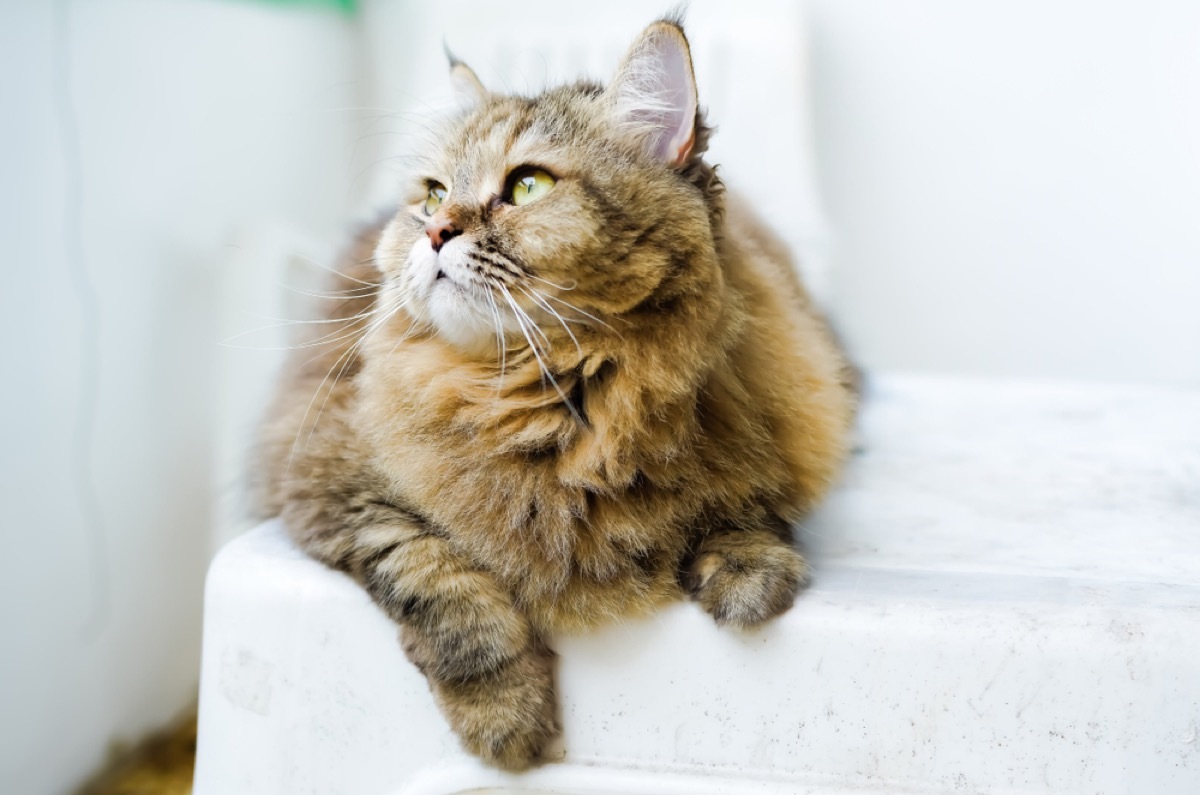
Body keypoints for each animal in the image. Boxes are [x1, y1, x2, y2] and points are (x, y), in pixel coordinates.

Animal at [255, 14, 854, 773]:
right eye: (432, 194)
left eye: (528, 186)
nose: (434, 230)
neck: (558, 401)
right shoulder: (331, 483)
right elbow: (439, 582)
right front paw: (505, 716)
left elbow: (747, 500)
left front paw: (748, 569)